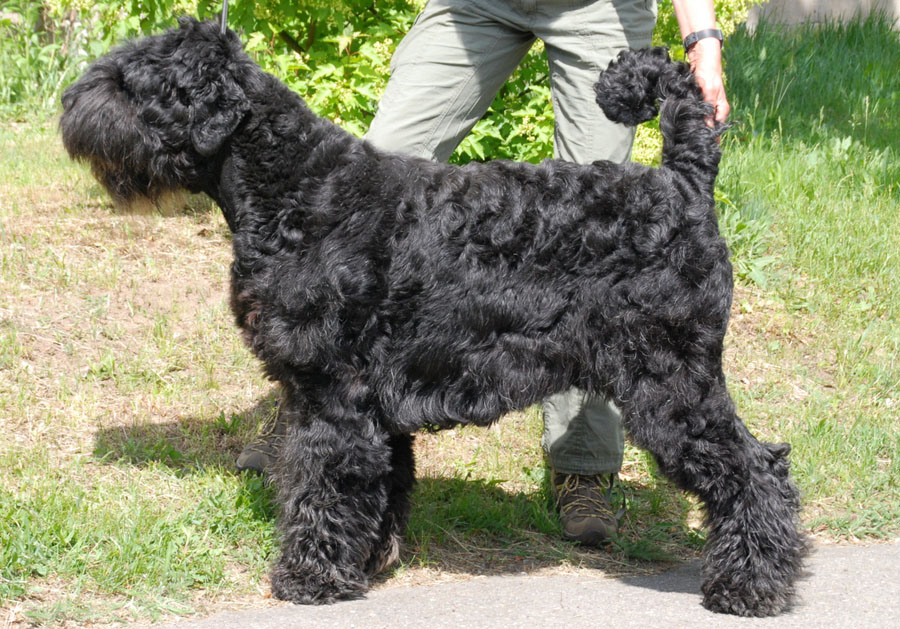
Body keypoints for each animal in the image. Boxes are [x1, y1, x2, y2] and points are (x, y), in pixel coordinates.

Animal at [61, 17, 808, 616]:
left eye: (131, 79)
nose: (70, 107)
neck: (303, 191)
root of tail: (684, 183)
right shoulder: (371, 403)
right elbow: (380, 484)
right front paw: (369, 560)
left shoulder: (330, 395)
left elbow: (320, 485)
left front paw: (309, 578)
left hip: (670, 386)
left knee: (756, 470)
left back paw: (750, 586)